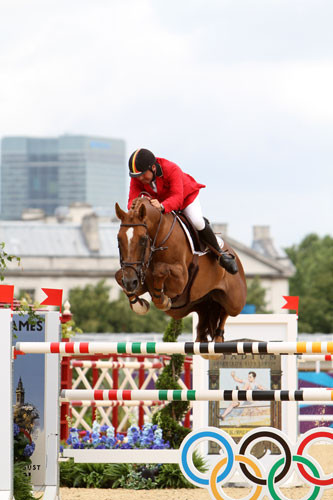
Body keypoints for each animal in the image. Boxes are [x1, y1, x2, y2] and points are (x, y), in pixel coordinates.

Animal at [115, 197, 246, 342]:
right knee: (204, 320)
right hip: (194, 305)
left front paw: (162, 300)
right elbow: (118, 276)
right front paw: (139, 305)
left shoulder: (180, 280)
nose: (130, 282)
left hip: (234, 302)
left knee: (225, 313)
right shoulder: (139, 277)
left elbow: (160, 271)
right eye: (118, 238)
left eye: (143, 239)